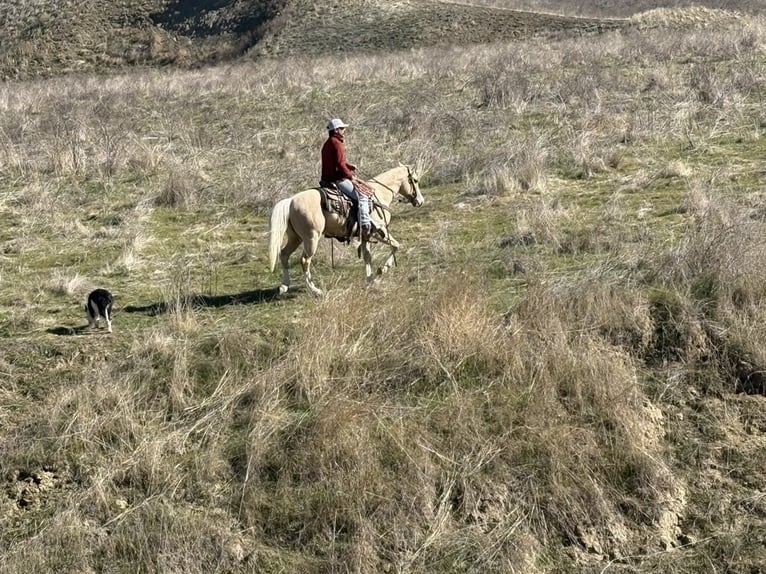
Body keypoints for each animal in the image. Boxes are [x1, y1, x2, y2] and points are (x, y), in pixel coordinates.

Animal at [268, 164, 424, 296]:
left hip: (295, 238)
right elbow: (397, 246)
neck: (379, 194)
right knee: (304, 260)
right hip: (311, 238)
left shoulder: (366, 236)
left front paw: (370, 280)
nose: (420, 201)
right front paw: (382, 270)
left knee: (284, 254)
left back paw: (284, 286)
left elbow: (367, 256)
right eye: (415, 180)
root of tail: (291, 201)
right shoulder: (380, 233)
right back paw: (315, 290)